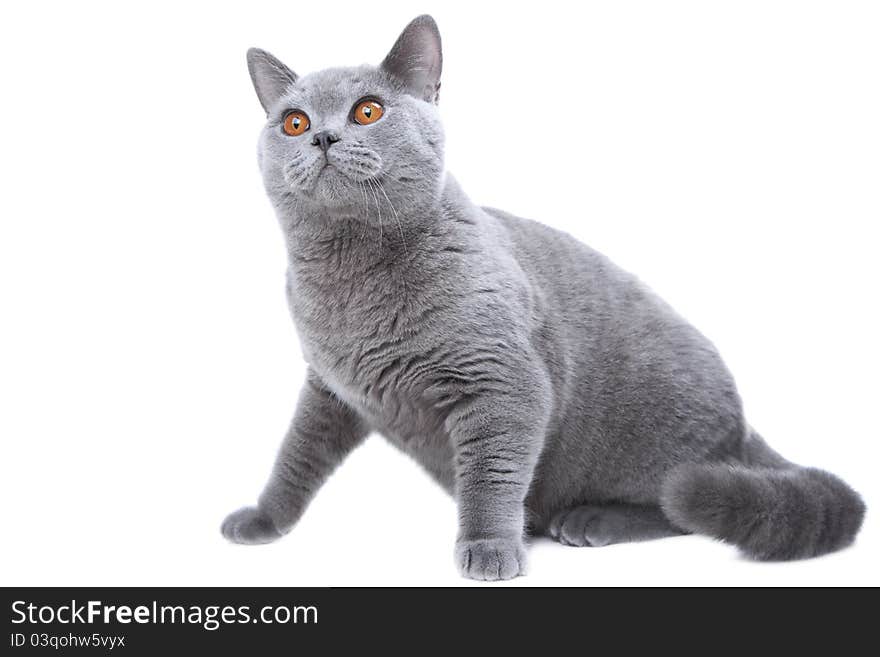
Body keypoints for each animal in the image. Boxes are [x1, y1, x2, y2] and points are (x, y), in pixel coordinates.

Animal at [222, 14, 868, 580]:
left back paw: (589, 520)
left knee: (679, 501)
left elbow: (491, 474)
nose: (324, 135)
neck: (349, 278)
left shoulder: (503, 381)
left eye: (368, 111)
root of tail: (744, 427)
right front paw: (264, 520)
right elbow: (297, 454)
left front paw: (487, 549)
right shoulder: (330, 389)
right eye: (294, 122)